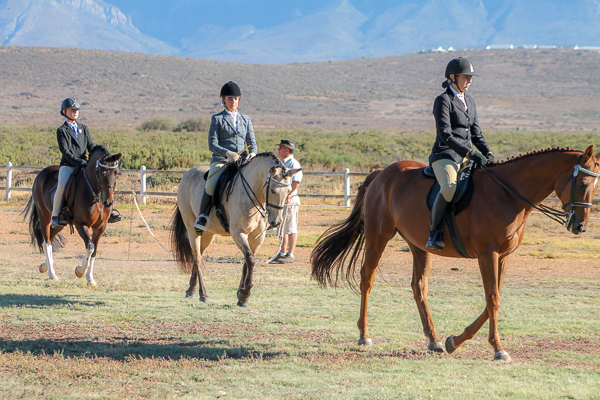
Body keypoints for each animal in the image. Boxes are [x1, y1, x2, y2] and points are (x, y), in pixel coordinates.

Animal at [22, 148, 122, 286]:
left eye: (116, 172)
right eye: (101, 173)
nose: (108, 202)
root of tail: (41, 173)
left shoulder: (101, 226)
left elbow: (94, 250)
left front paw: (90, 279)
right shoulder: (81, 224)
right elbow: (90, 247)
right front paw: (80, 271)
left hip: (60, 224)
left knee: (50, 237)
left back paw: (44, 266)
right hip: (45, 216)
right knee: (46, 241)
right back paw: (52, 274)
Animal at [170, 152, 301, 306]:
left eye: (289, 191)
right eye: (273, 190)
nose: (277, 222)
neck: (252, 195)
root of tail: (188, 173)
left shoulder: (257, 237)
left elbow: (247, 261)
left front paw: (241, 295)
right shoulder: (238, 233)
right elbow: (250, 259)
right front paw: (245, 294)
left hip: (208, 233)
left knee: (200, 256)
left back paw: (191, 290)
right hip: (191, 227)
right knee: (196, 257)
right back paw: (203, 294)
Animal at [311, 146, 600, 362]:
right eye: (583, 182)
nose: (579, 226)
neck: (508, 194)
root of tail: (383, 172)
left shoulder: (504, 256)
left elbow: (492, 300)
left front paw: (454, 341)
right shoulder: (487, 253)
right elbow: (493, 299)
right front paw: (498, 349)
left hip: (420, 245)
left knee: (419, 286)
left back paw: (434, 340)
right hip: (378, 235)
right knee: (367, 278)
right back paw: (364, 335)